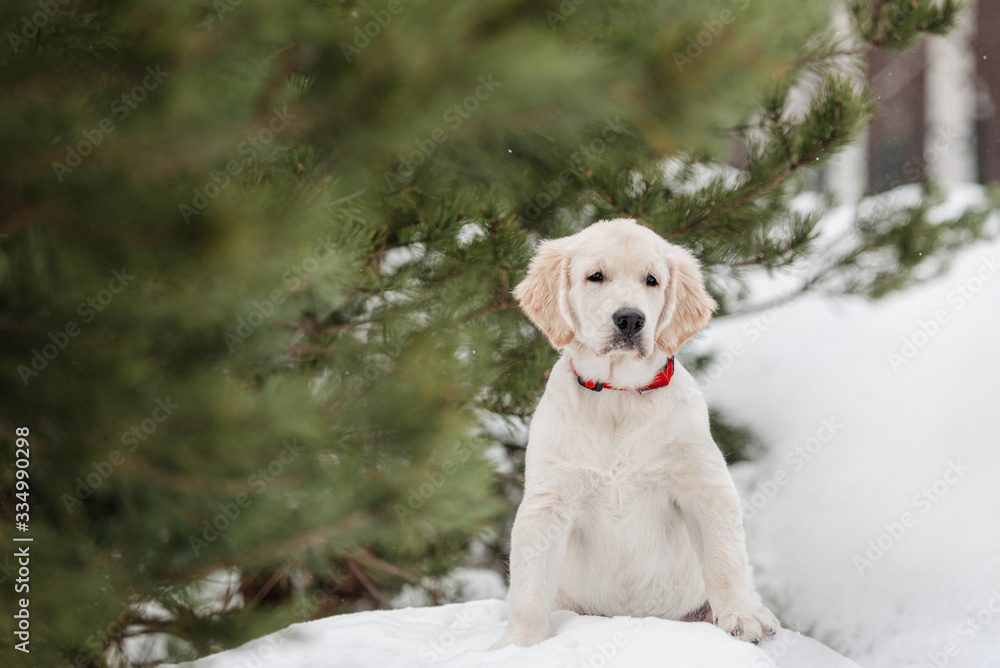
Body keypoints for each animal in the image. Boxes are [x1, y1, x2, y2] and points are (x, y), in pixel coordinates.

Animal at [492, 218, 780, 648]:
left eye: (651, 280)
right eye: (595, 276)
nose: (630, 319)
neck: (619, 397)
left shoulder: (704, 484)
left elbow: (724, 558)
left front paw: (741, 616)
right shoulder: (548, 499)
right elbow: (529, 581)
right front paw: (518, 643)